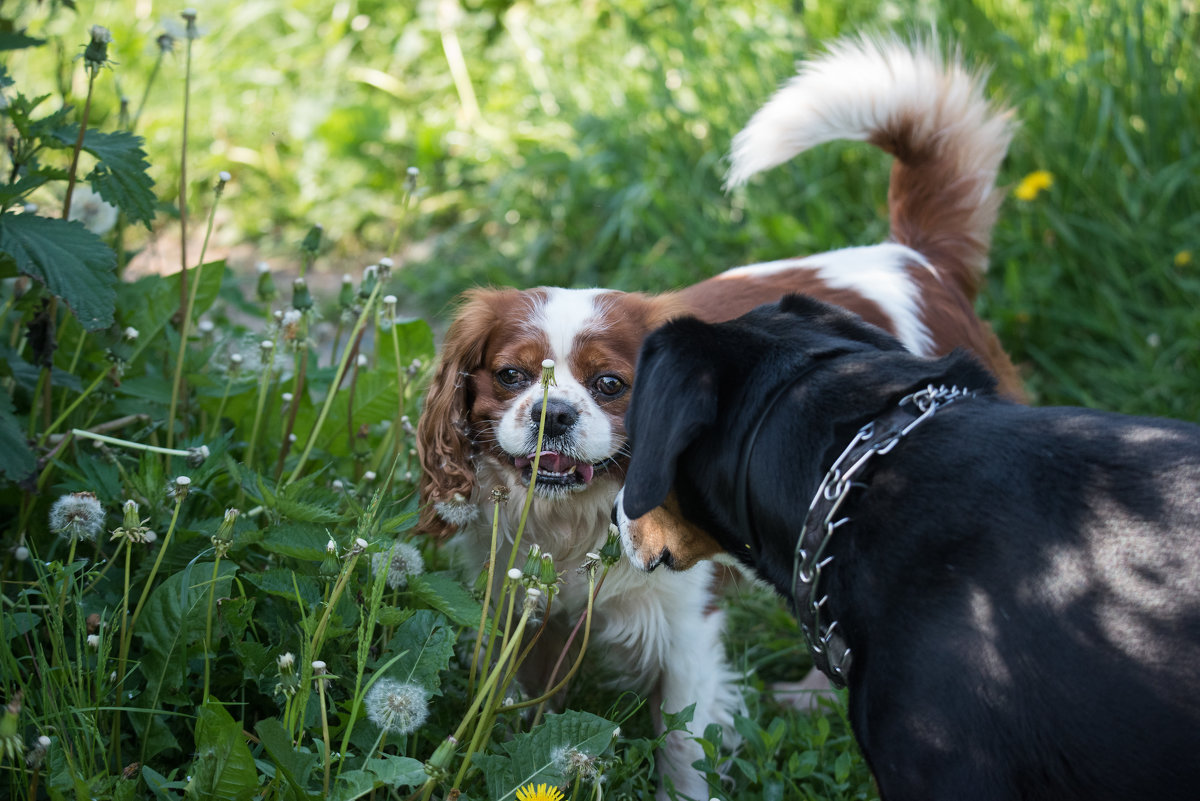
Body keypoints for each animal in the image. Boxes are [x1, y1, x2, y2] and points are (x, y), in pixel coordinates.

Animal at [420, 38, 1022, 801]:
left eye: (611, 385)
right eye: (511, 376)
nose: (553, 413)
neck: (575, 518)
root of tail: (917, 260)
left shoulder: (686, 631)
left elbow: (683, 746)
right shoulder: (521, 614)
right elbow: (524, 720)